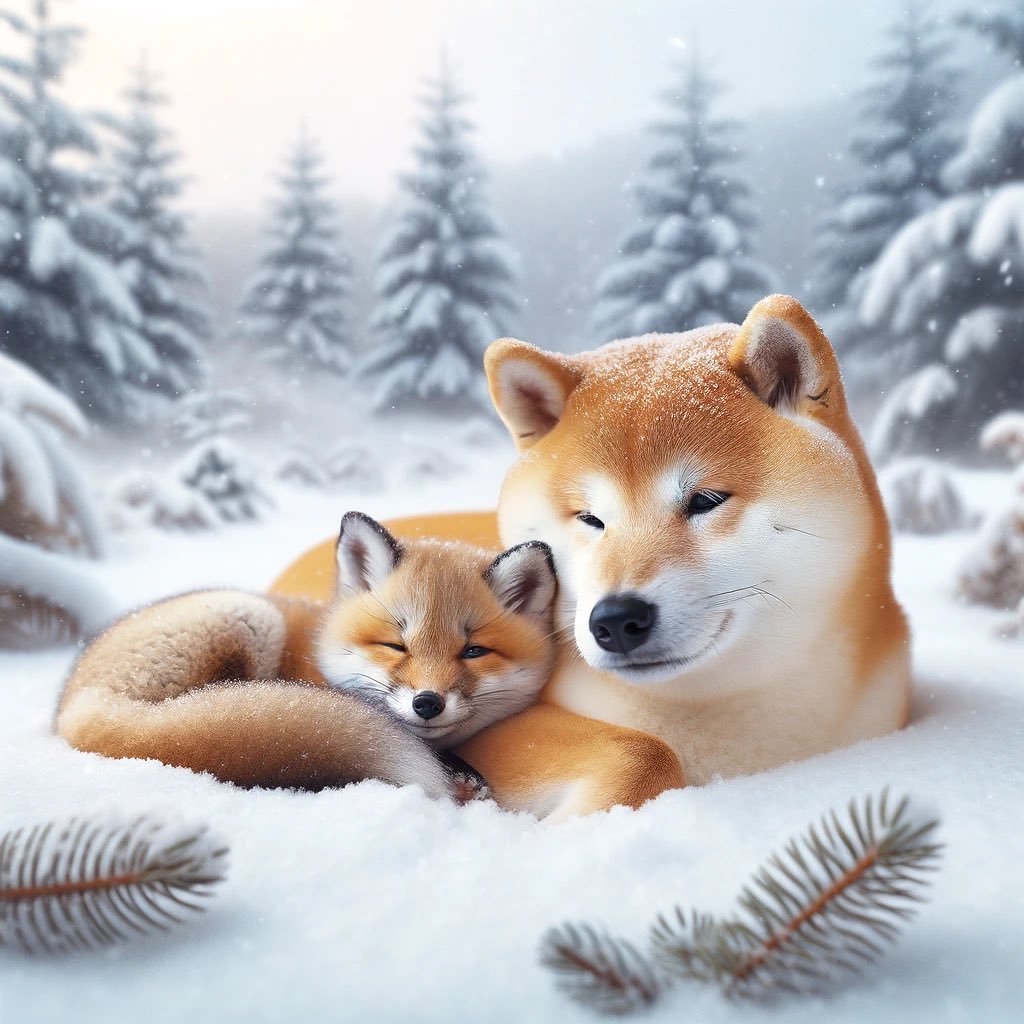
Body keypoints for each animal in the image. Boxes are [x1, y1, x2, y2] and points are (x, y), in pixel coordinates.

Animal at [55, 512, 558, 800]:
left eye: (473, 651)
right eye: (395, 645)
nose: (427, 703)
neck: (318, 659)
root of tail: (72, 703)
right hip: (247, 616)